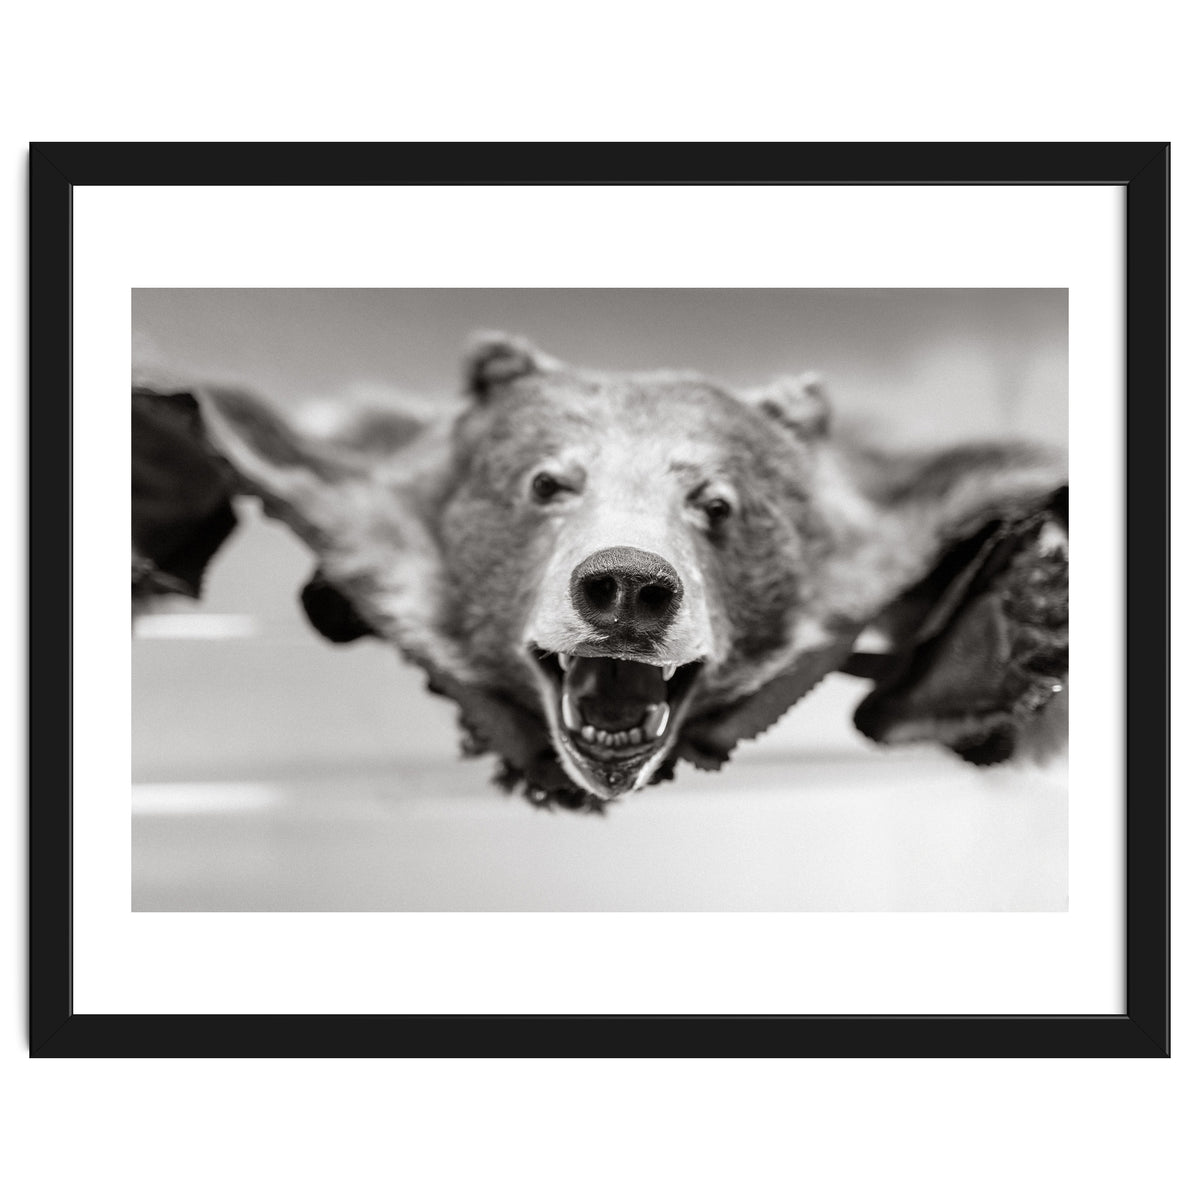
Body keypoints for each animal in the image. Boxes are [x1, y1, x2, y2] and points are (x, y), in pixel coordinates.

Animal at [135, 334, 1069, 810]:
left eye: (717, 501)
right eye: (547, 482)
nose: (627, 586)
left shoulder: (902, 525)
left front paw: (1030, 617)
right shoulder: (339, 498)